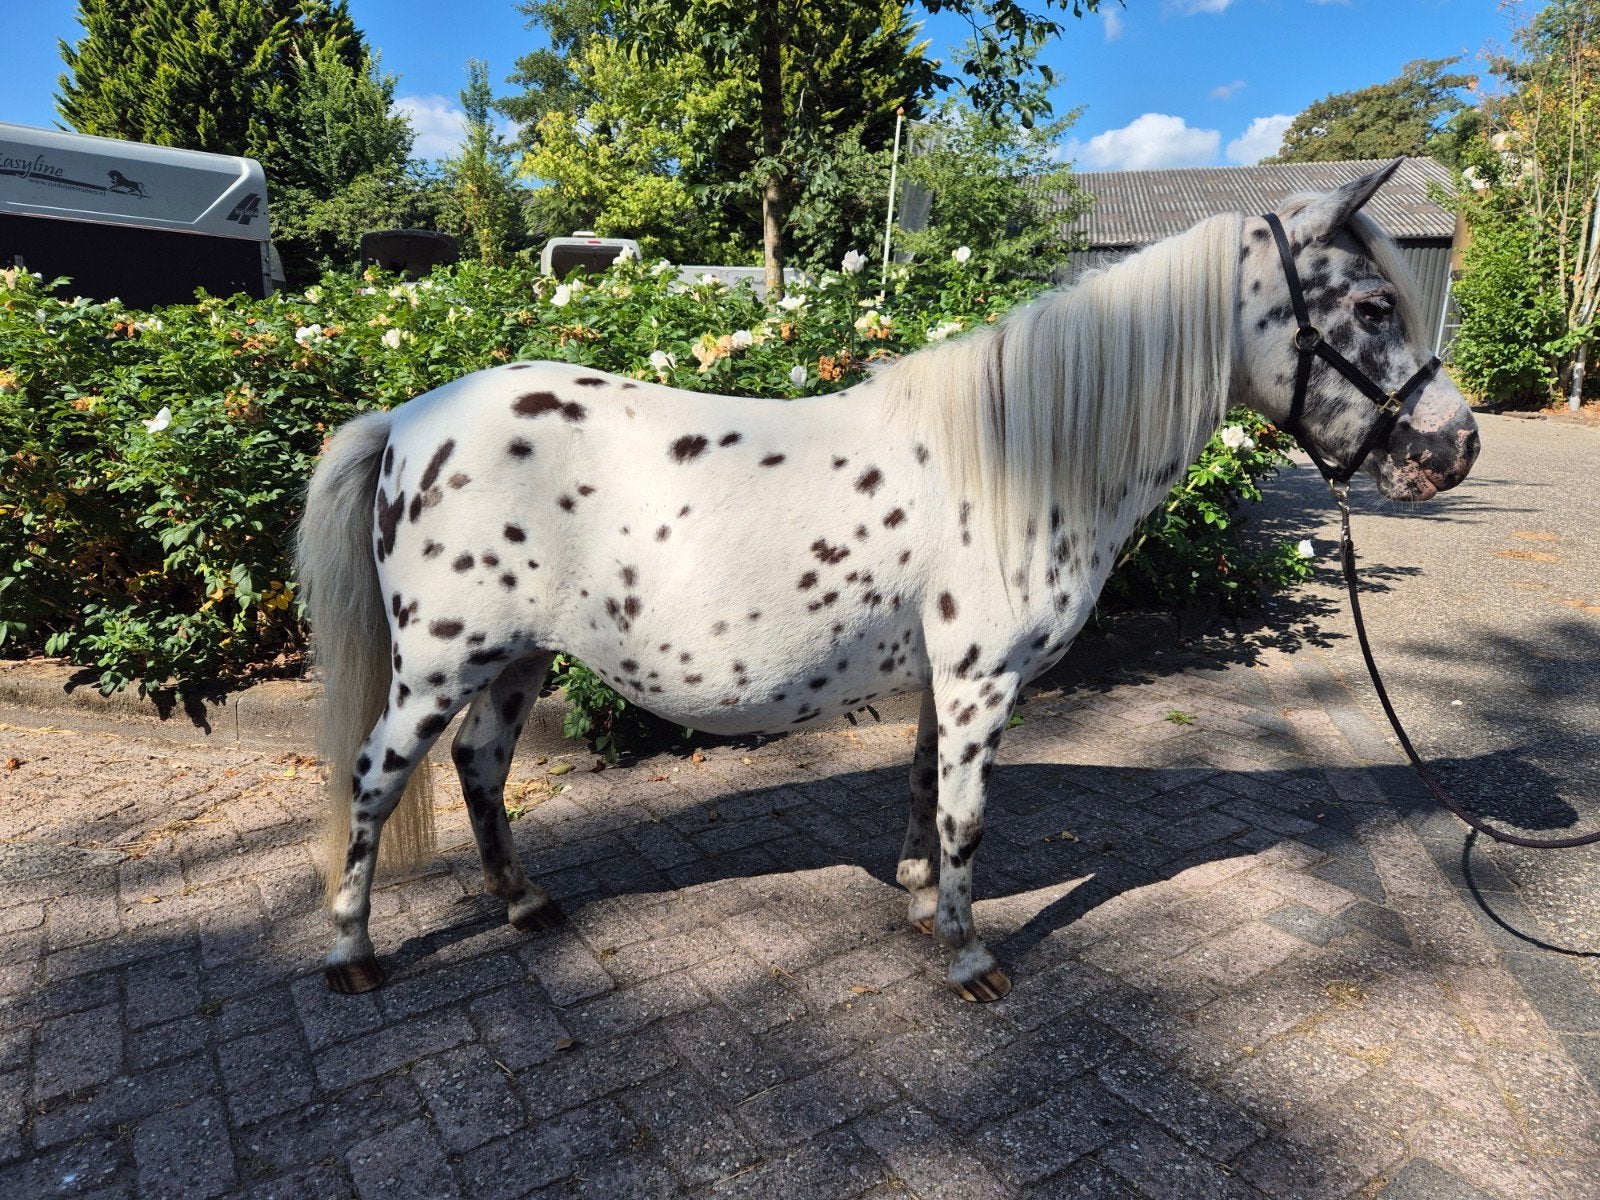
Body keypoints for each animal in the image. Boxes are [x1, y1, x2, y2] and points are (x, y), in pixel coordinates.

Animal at [296, 162, 1480, 1002]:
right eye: (1374, 306)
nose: (1453, 448)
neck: (1017, 458)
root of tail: (407, 419)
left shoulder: (942, 679)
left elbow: (922, 790)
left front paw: (917, 910)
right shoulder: (982, 681)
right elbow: (966, 818)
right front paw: (968, 959)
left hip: (518, 658)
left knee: (481, 769)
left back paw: (526, 905)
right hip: (438, 664)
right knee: (373, 780)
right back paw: (352, 953)